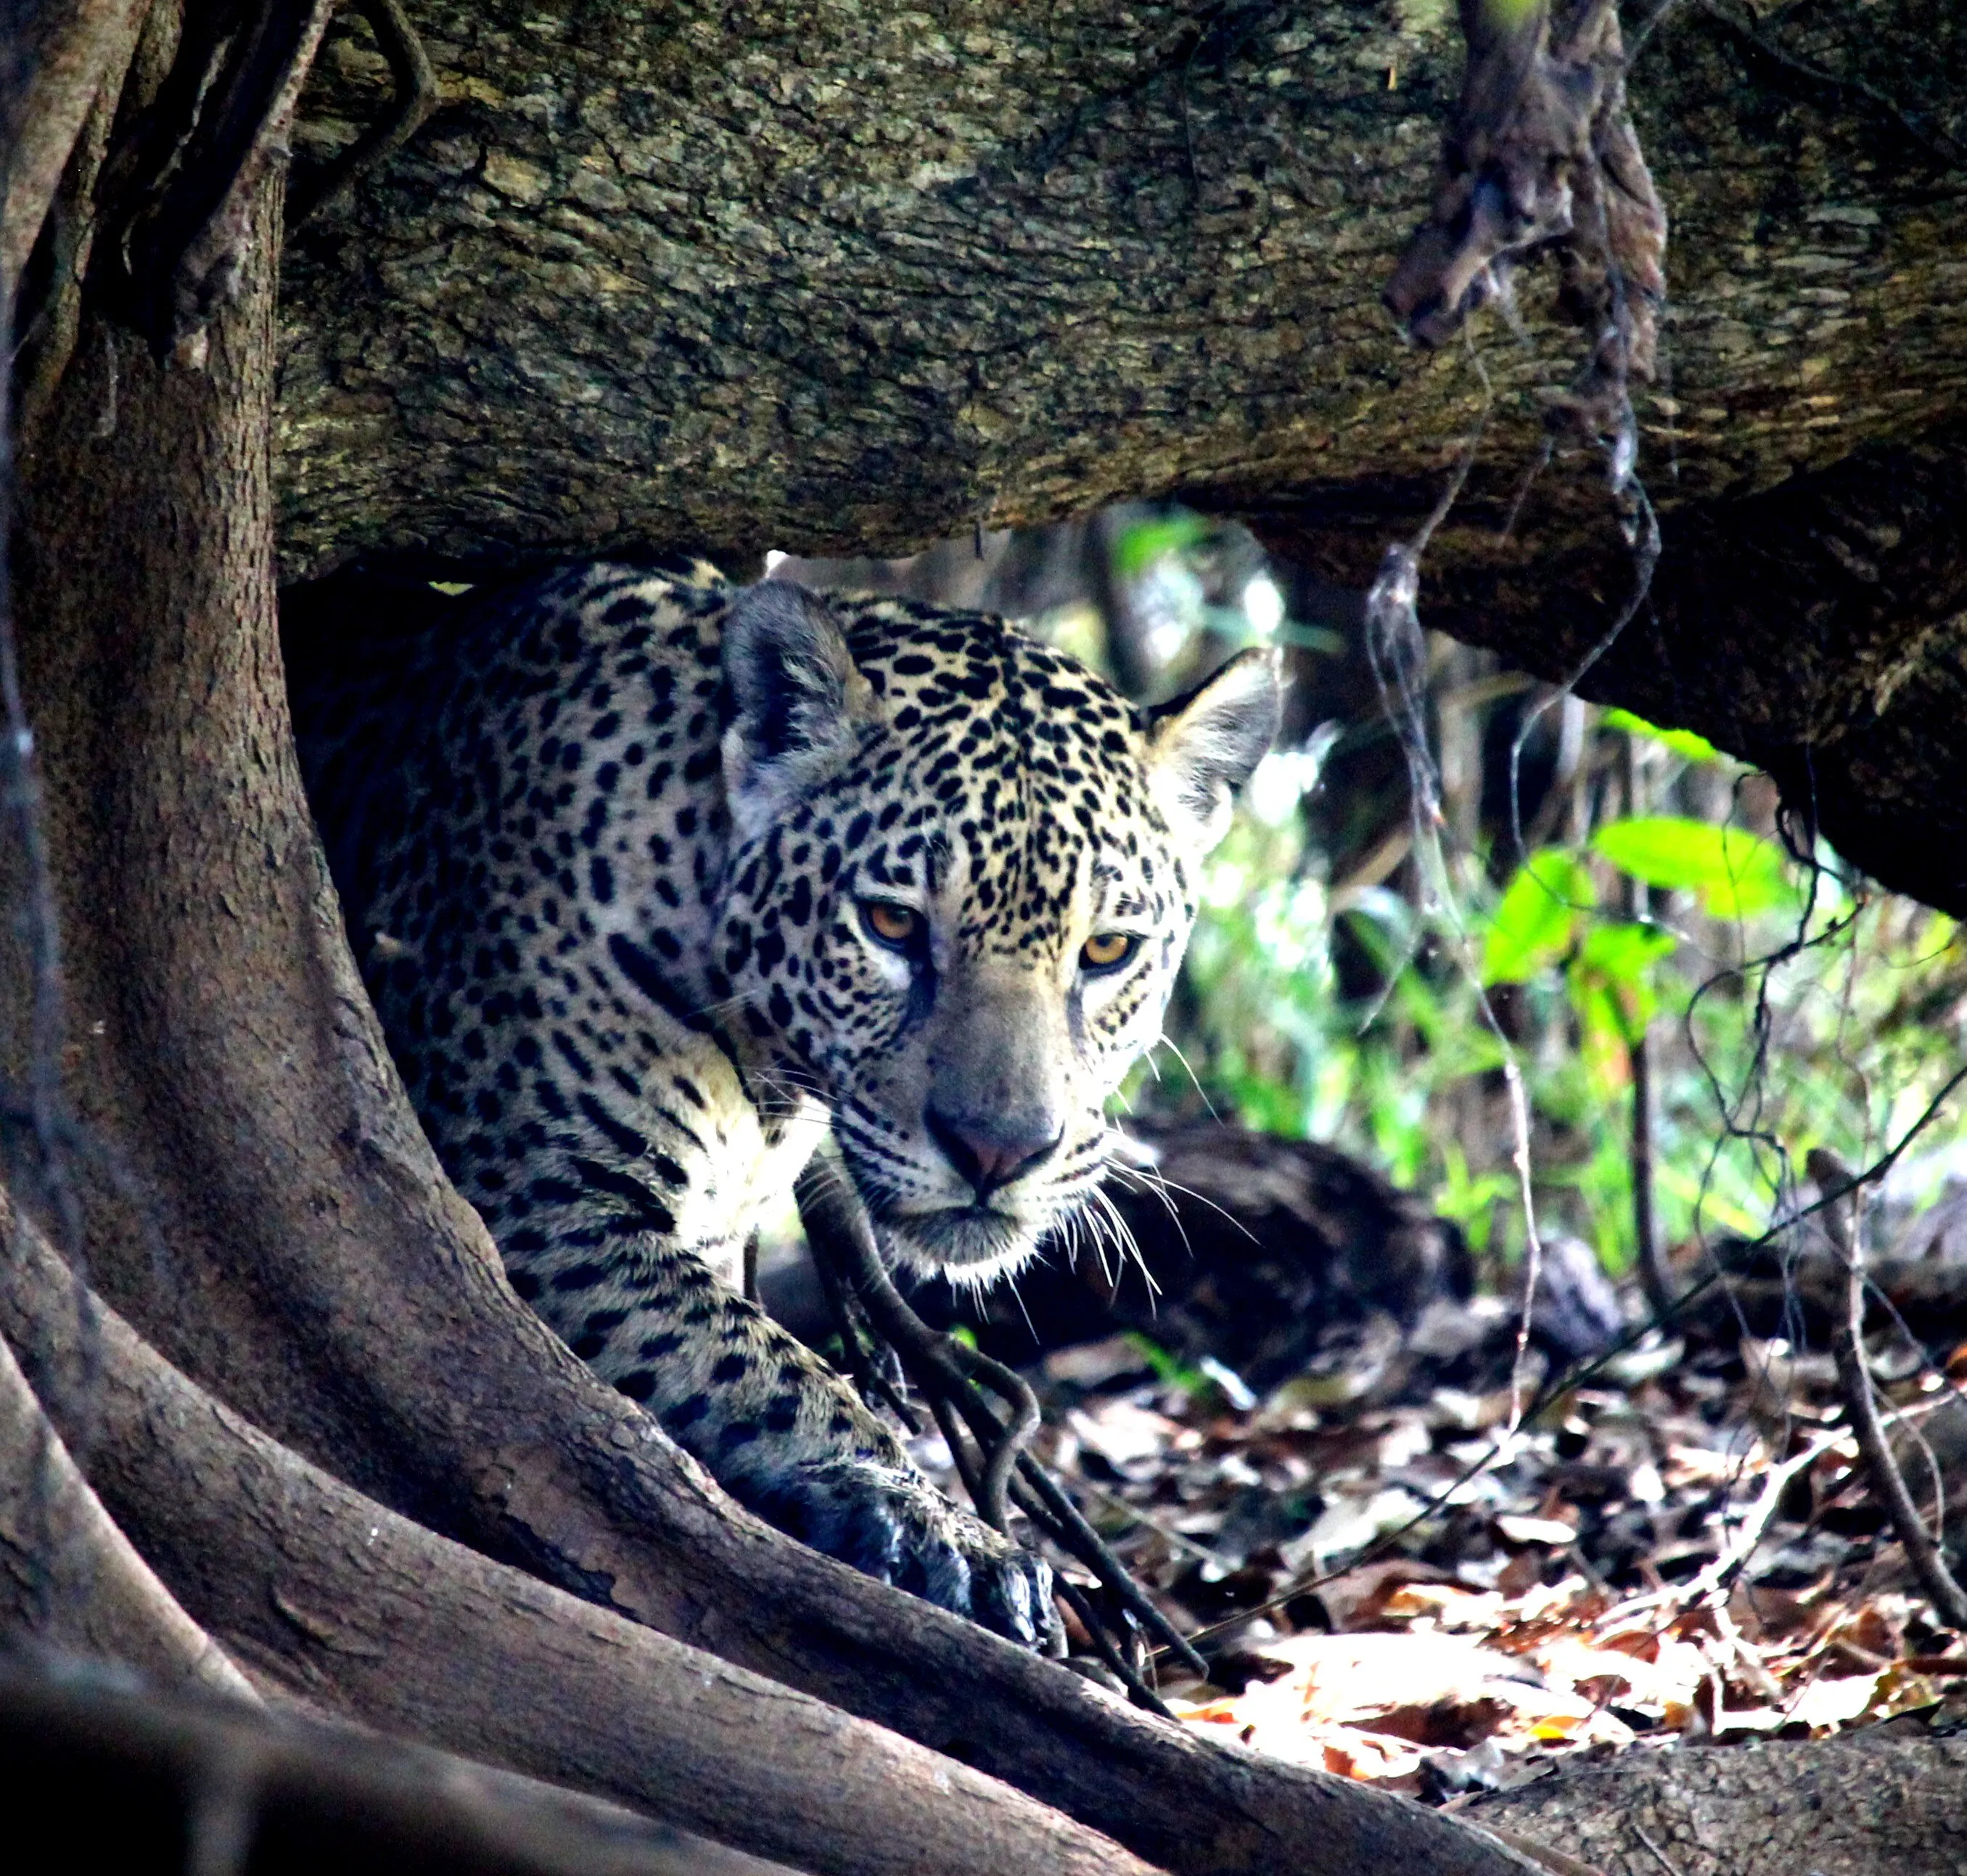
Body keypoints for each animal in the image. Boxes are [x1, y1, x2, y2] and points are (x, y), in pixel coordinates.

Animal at [289, 556, 1279, 1648]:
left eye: (1106, 949)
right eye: (890, 924)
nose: (996, 1152)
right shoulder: (538, 1201)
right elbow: (760, 1360)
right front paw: (945, 1531)